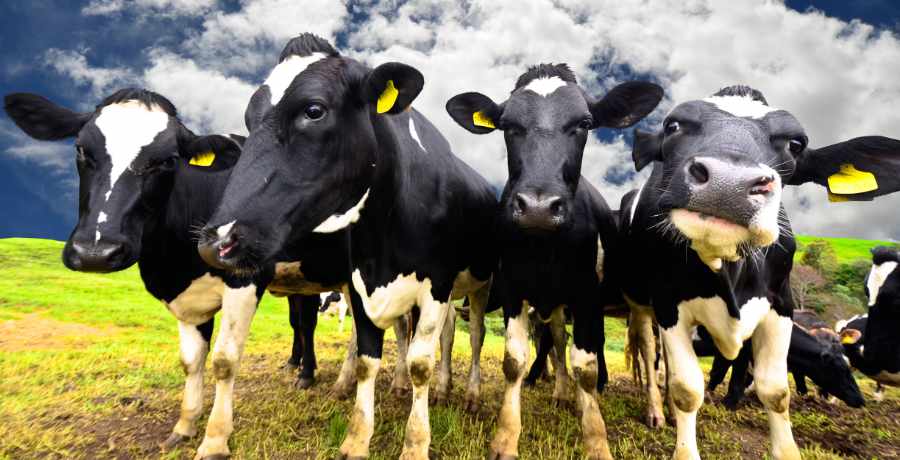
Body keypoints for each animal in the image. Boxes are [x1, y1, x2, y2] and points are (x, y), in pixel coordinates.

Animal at [194, 34, 497, 459]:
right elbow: (369, 358)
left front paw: (415, 443)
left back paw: (465, 393)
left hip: (479, 284)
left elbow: (421, 362)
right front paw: (357, 438)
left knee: (473, 334)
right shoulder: (361, 281)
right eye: (249, 120)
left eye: (314, 110)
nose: (218, 240)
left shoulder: (436, 285)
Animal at [447, 63, 663, 460]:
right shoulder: (514, 290)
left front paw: (596, 439)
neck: (544, 249)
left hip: (637, 302)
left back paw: (654, 408)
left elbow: (587, 366)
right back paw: (564, 393)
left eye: (584, 123)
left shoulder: (588, 295)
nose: (538, 207)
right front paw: (505, 437)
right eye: (508, 125)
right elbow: (515, 361)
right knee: (560, 340)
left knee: (645, 346)